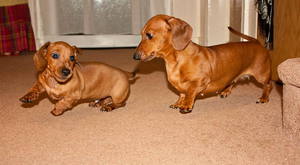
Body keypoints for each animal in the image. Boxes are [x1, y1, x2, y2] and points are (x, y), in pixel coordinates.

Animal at [134, 14, 272, 113]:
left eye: (149, 35)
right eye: (141, 34)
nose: (134, 56)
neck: (176, 60)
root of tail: (256, 42)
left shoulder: (201, 81)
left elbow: (190, 91)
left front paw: (186, 104)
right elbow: (182, 93)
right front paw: (179, 102)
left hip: (261, 75)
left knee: (268, 85)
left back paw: (264, 98)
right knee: (233, 81)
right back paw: (225, 91)